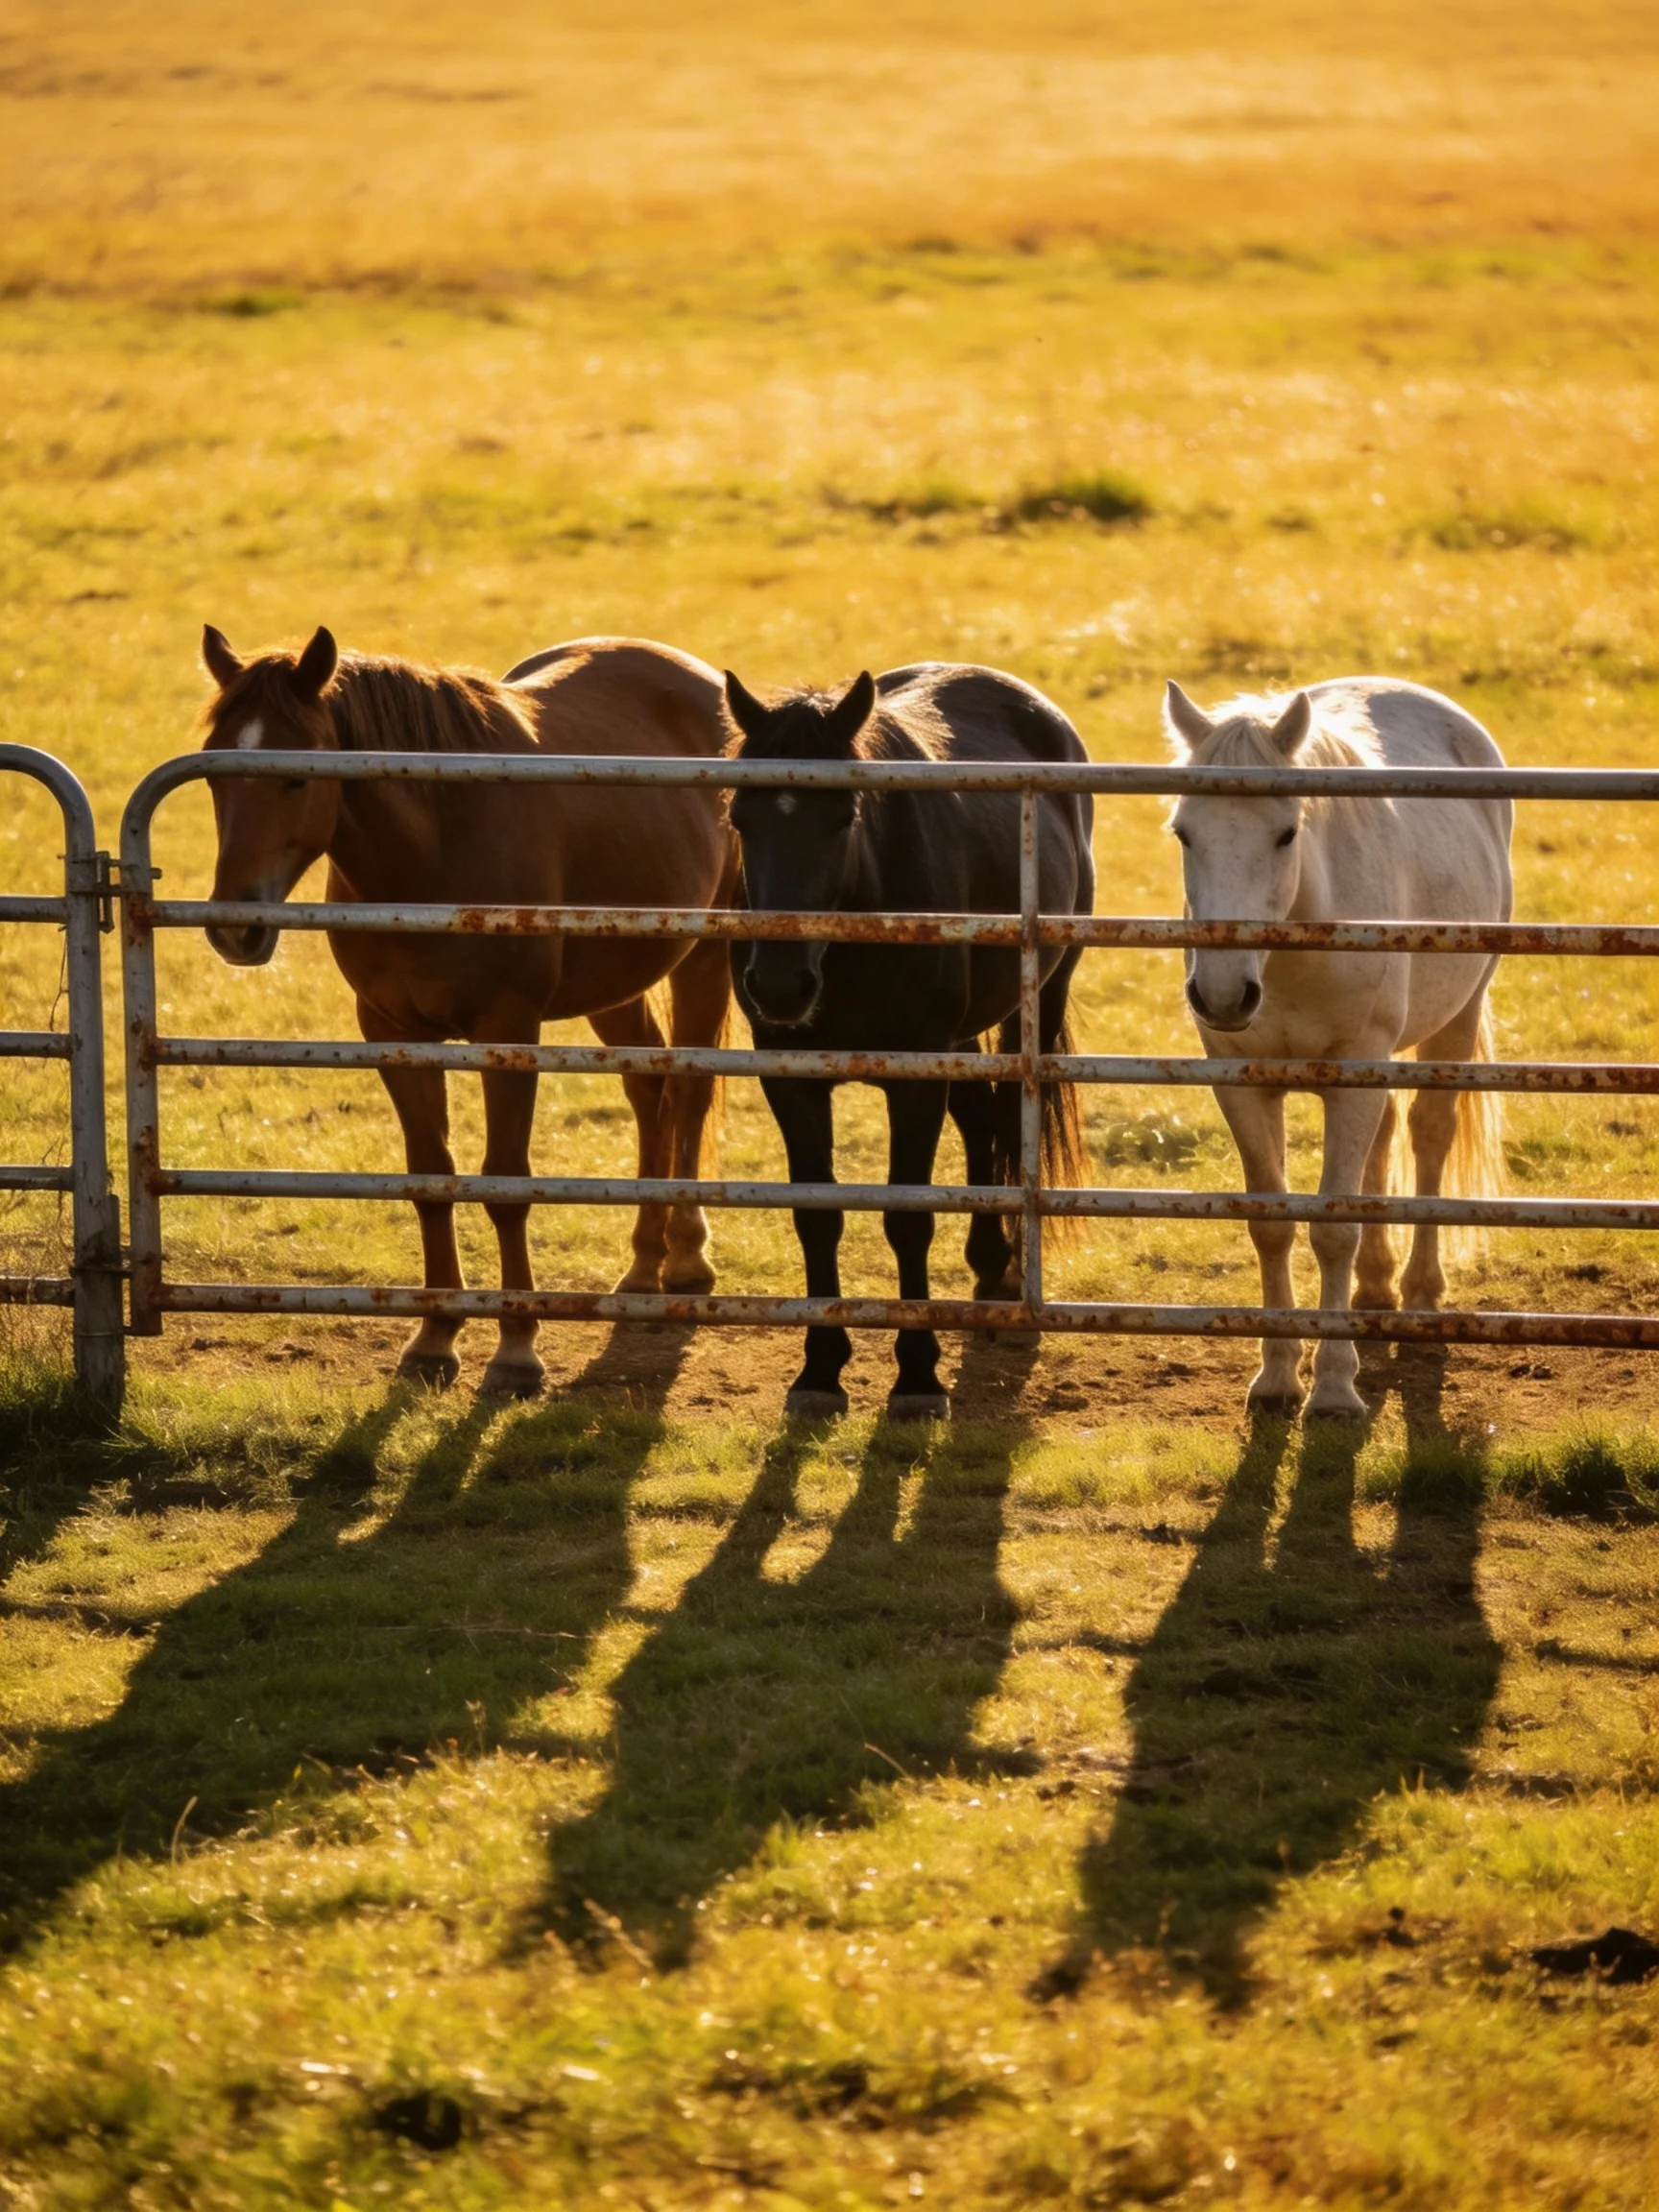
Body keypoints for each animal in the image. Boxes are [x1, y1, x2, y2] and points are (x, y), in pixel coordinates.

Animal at [198, 625, 741, 1397]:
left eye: (297, 777)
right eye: (214, 776)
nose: (233, 929)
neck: (434, 846)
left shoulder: (508, 1030)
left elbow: (506, 1185)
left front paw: (517, 1348)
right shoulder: (391, 1032)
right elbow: (431, 1180)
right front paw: (434, 1338)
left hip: (706, 955)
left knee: (691, 1091)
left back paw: (688, 1256)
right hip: (620, 981)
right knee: (652, 1091)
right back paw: (642, 1265)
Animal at [723, 661, 1094, 1421]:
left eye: (843, 818)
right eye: (741, 817)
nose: (779, 985)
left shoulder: (916, 1075)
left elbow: (908, 1219)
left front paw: (918, 1376)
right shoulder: (789, 1075)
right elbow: (817, 1217)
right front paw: (819, 1370)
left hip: (1040, 996)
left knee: (1012, 1119)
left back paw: (1008, 1285)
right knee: (982, 1119)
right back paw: (989, 1267)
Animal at [1163, 675, 1512, 1419]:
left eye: (1286, 833)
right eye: (1183, 832)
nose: (1222, 994)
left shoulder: (1355, 1072)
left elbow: (1332, 1229)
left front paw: (1332, 1388)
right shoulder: (1241, 1080)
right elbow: (1272, 1224)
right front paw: (1274, 1377)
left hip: (1457, 1016)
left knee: (1428, 1135)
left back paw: (1419, 1293)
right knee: (1382, 1145)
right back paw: (1375, 1290)